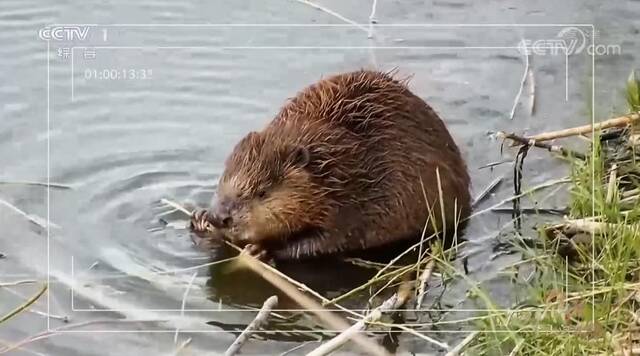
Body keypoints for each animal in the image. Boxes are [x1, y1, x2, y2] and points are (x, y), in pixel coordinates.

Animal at [190, 69, 470, 260]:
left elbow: (329, 240)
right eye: (224, 179)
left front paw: (263, 250)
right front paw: (200, 219)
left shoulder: (358, 203)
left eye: (262, 192)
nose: (220, 216)